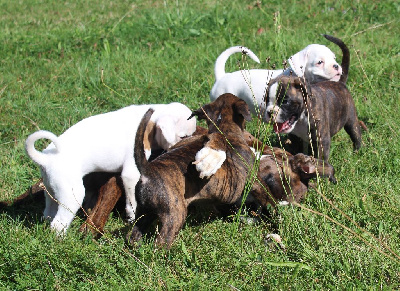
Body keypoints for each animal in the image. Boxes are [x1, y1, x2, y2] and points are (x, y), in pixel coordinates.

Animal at [24, 103, 196, 235]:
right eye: (183, 136)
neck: (150, 122)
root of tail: (46, 159)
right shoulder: (130, 174)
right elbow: (132, 199)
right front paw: (131, 215)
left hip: (51, 192)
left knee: (48, 214)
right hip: (72, 195)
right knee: (58, 224)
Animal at [128, 94, 276, 249]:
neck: (225, 129)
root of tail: (147, 170)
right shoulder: (256, 182)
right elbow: (270, 200)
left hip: (144, 212)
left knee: (134, 234)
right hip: (174, 215)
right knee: (161, 243)